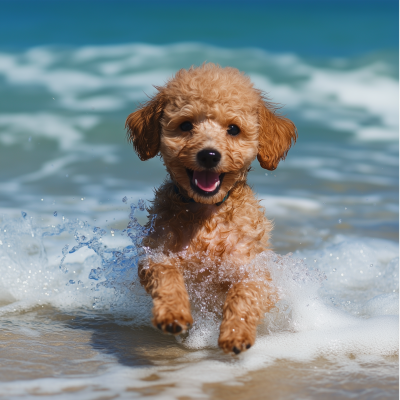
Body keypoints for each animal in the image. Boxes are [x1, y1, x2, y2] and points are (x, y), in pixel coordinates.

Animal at [126, 62, 296, 354]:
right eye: (186, 125)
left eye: (233, 129)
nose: (209, 155)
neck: (207, 213)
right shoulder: (157, 252)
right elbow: (167, 276)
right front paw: (173, 313)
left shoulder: (253, 268)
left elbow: (244, 293)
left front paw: (235, 332)